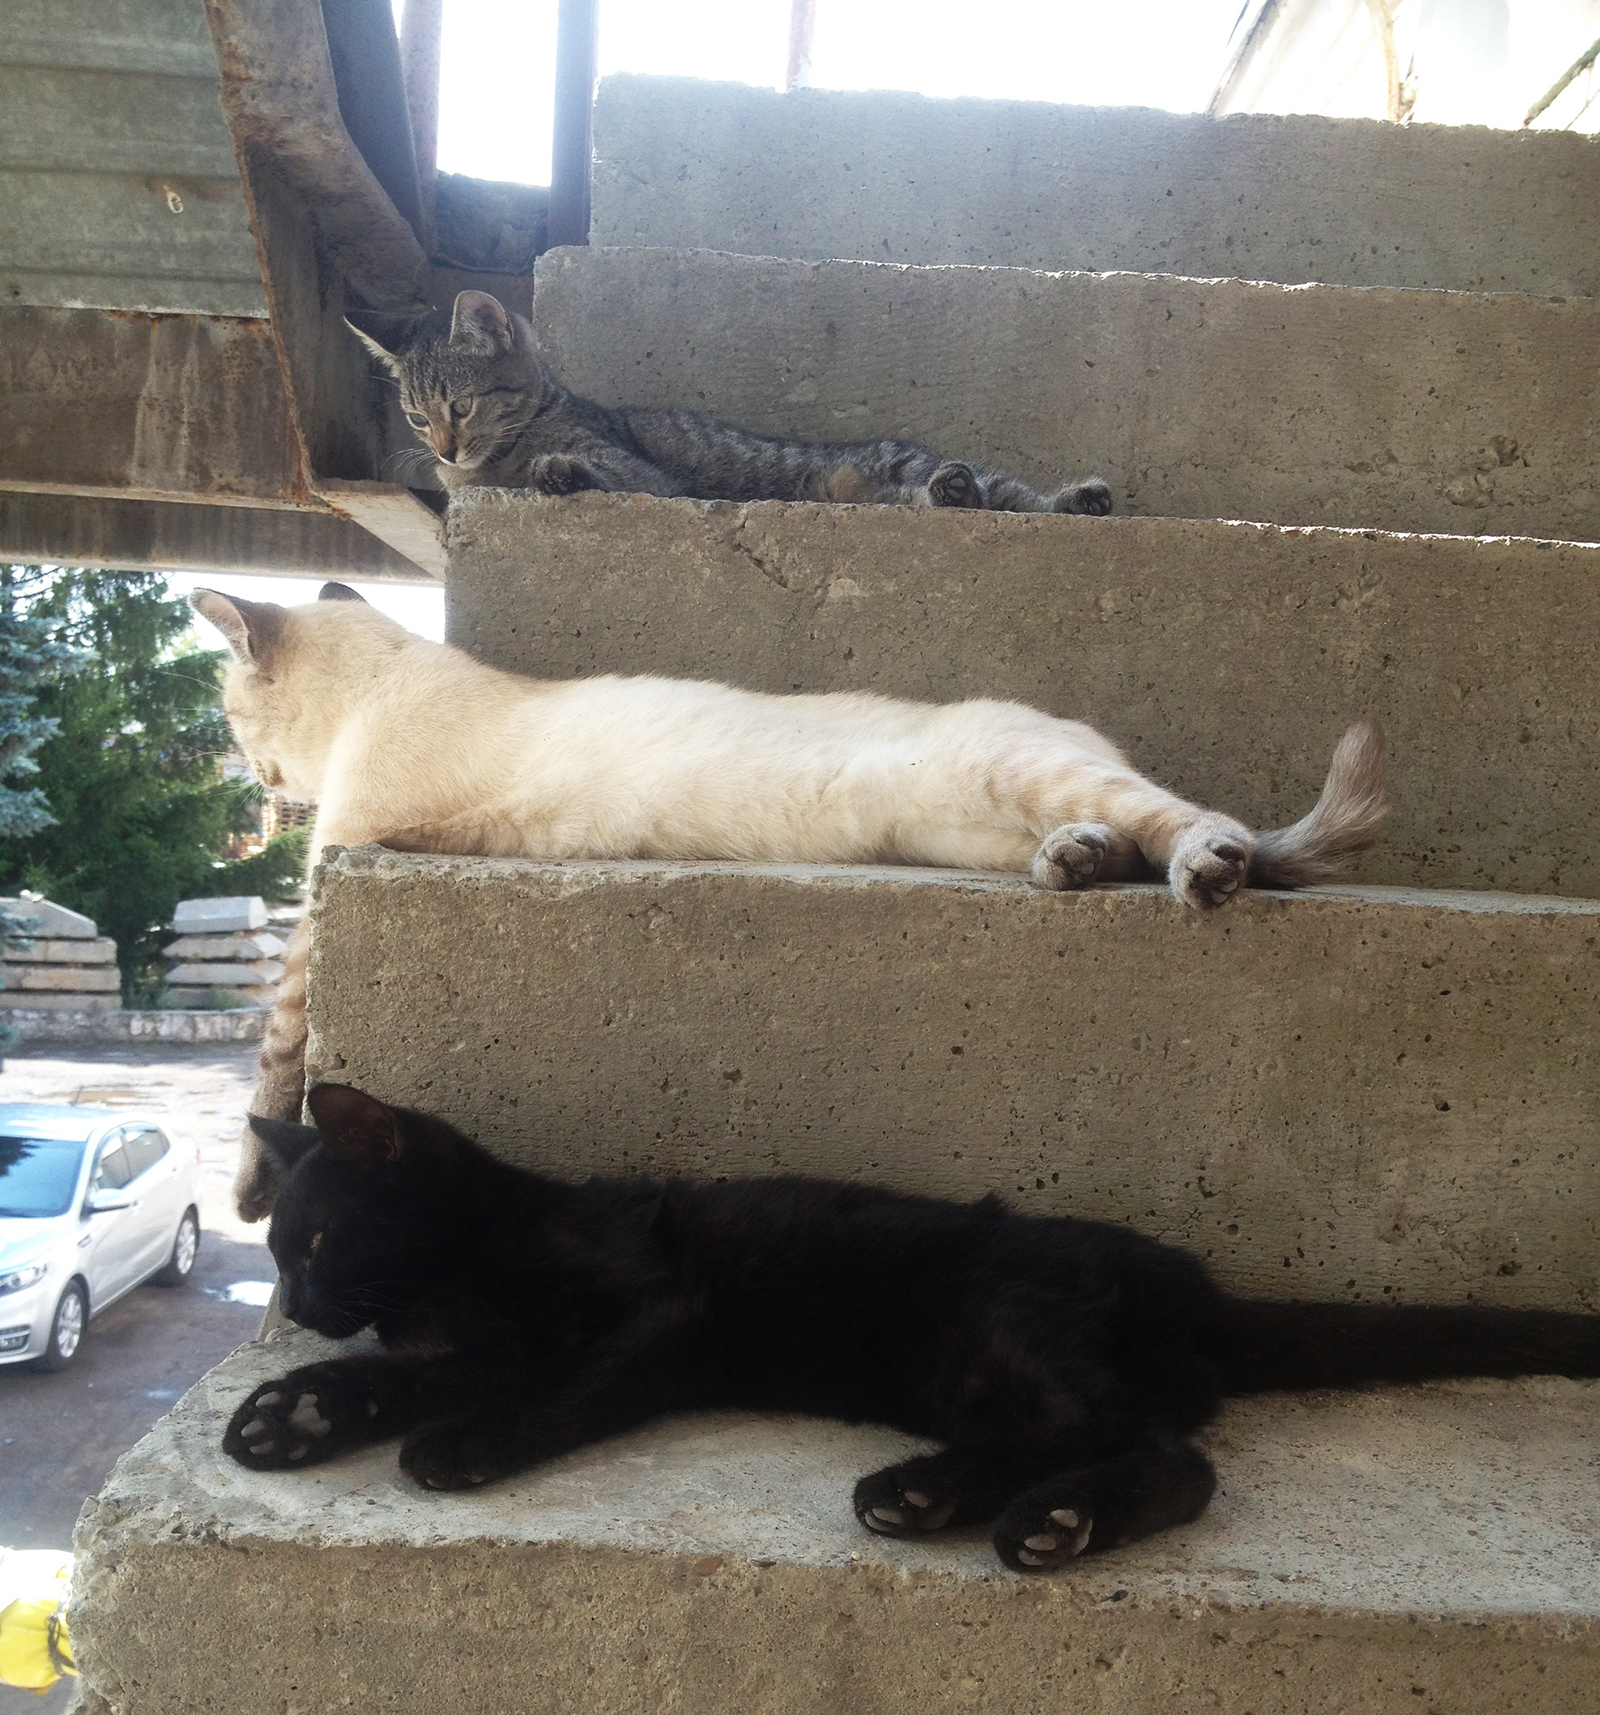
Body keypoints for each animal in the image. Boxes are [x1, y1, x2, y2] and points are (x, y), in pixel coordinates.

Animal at [190, 586, 1385, 1221]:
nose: (253, 776)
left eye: (231, 716)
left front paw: (250, 1191)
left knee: (1192, 822)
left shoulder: (334, 874)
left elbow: (276, 1056)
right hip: (968, 826)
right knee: (1113, 841)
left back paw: (1205, 868)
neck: (386, 685)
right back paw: (1075, 865)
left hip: (1030, 775)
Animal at [224, 1090, 1598, 1570]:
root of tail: (1190, 1288)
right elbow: (395, 1378)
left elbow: (555, 1391)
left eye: (319, 1239)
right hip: (960, 1366)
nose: (294, 1308)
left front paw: (460, 1446)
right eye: (278, 1251)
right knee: (1082, 1432)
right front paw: (299, 1413)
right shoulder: (451, 1345)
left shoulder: (650, 1312)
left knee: (1168, 1452)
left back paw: (1050, 1522)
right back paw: (932, 1495)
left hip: (990, 1320)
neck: (472, 1248)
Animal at [344, 291, 1111, 514]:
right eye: (417, 417)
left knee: (1009, 493)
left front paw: (554, 470)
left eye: (462, 406)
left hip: (908, 465)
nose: (444, 448)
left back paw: (1073, 497)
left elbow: (593, 469)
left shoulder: (651, 478)